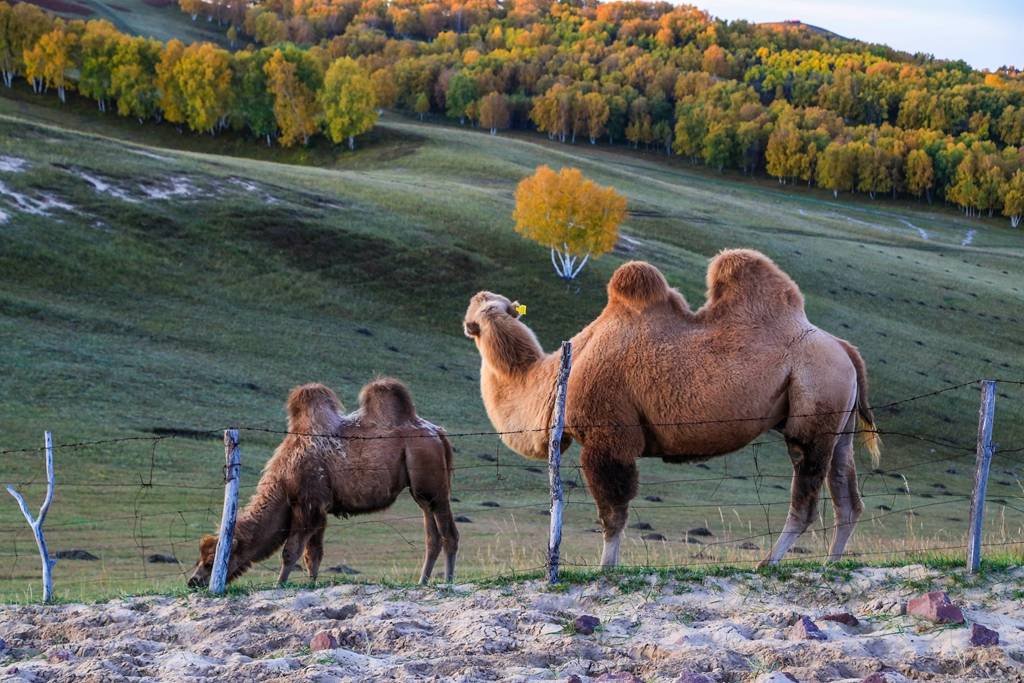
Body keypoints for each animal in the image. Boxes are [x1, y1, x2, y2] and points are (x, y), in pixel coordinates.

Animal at [189, 378, 460, 589]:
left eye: (211, 562)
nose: (193, 581)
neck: (284, 481)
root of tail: (438, 433)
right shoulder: (319, 509)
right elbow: (313, 555)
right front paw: (311, 583)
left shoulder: (307, 504)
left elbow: (291, 551)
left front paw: (279, 584)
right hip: (422, 491)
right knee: (432, 536)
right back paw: (423, 580)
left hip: (432, 483)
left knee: (449, 533)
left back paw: (448, 580)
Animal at [464, 248, 880, 569]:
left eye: (481, 314)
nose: (471, 320)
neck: (562, 374)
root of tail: (845, 348)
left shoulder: (608, 437)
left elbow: (612, 513)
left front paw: (606, 569)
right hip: (838, 425)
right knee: (847, 498)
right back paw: (830, 564)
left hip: (813, 412)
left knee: (806, 497)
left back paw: (768, 562)